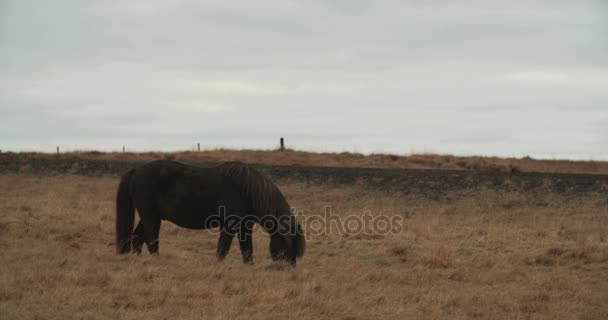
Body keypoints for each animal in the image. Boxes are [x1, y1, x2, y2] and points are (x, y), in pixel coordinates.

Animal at [115, 160, 304, 264]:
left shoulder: (244, 226)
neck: (248, 189)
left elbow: (247, 249)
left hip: (151, 217)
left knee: (137, 237)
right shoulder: (230, 224)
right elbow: (223, 247)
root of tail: (135, 171)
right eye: (290, 246)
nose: (289, 268)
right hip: (150, 217)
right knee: (150, 240)